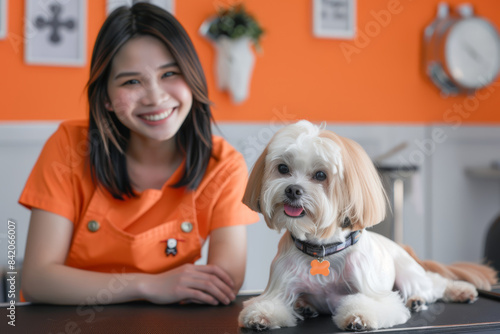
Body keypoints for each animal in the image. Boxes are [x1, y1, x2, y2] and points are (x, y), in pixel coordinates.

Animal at [239, 120, 496, 332]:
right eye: (283, 168)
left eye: (321, 175)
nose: (292, 190)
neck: (323, 249)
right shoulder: (278, 289)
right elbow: (268, 304)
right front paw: (260, 317)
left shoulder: (375, 293)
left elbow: (371, 304)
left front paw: (358, 317)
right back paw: (305, 306)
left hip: (409, 274)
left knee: (434, 284)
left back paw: (453, 292)